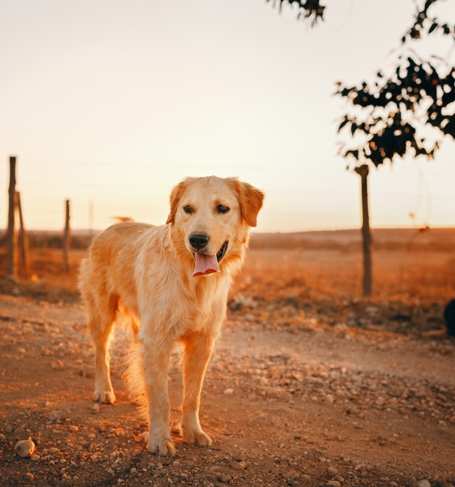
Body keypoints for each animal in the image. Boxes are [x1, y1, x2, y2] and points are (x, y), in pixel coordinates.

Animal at [78, 176, 264, 458]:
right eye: (187, 209)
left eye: (222, 208)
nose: (197, 240)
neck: (193, 282)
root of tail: (113, 226)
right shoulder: (157, 340)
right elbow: (161, 398)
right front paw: (159, 438)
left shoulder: (202, 343)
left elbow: (192, 396)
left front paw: (192, 432)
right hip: (102, 313)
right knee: (102, 353)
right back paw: (104, 390)